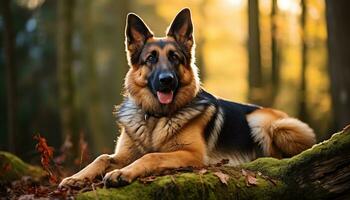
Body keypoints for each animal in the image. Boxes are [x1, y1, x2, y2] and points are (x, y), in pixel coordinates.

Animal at [58, 8, 316, 188]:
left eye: (174, 57)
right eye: (151, 59)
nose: (166, 80)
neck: (156, 118)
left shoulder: (191, 154)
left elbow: (151, 155)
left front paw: (122, 173)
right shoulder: (124, 154)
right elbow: (101, 157)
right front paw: (76, 177)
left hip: (266, 122)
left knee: (279, 154)